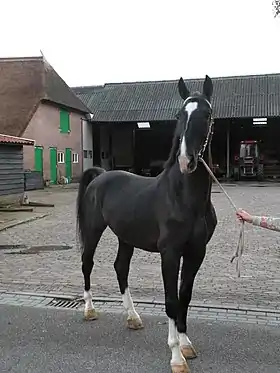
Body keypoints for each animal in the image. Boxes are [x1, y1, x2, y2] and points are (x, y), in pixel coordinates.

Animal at [77, 75, 219, 372]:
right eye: (179, 115)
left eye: (207, 114)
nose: (186, 160)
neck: (183, 197)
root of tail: (100, 176)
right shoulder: (170, 253)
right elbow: (171, 301)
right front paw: (176, 357)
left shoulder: (196, 252)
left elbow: (185, 296)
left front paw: (186, 345)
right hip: (94, 231)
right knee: (87, 263)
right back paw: (90, 310)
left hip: (126, 238)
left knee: (120, 268)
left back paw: (133, 317)